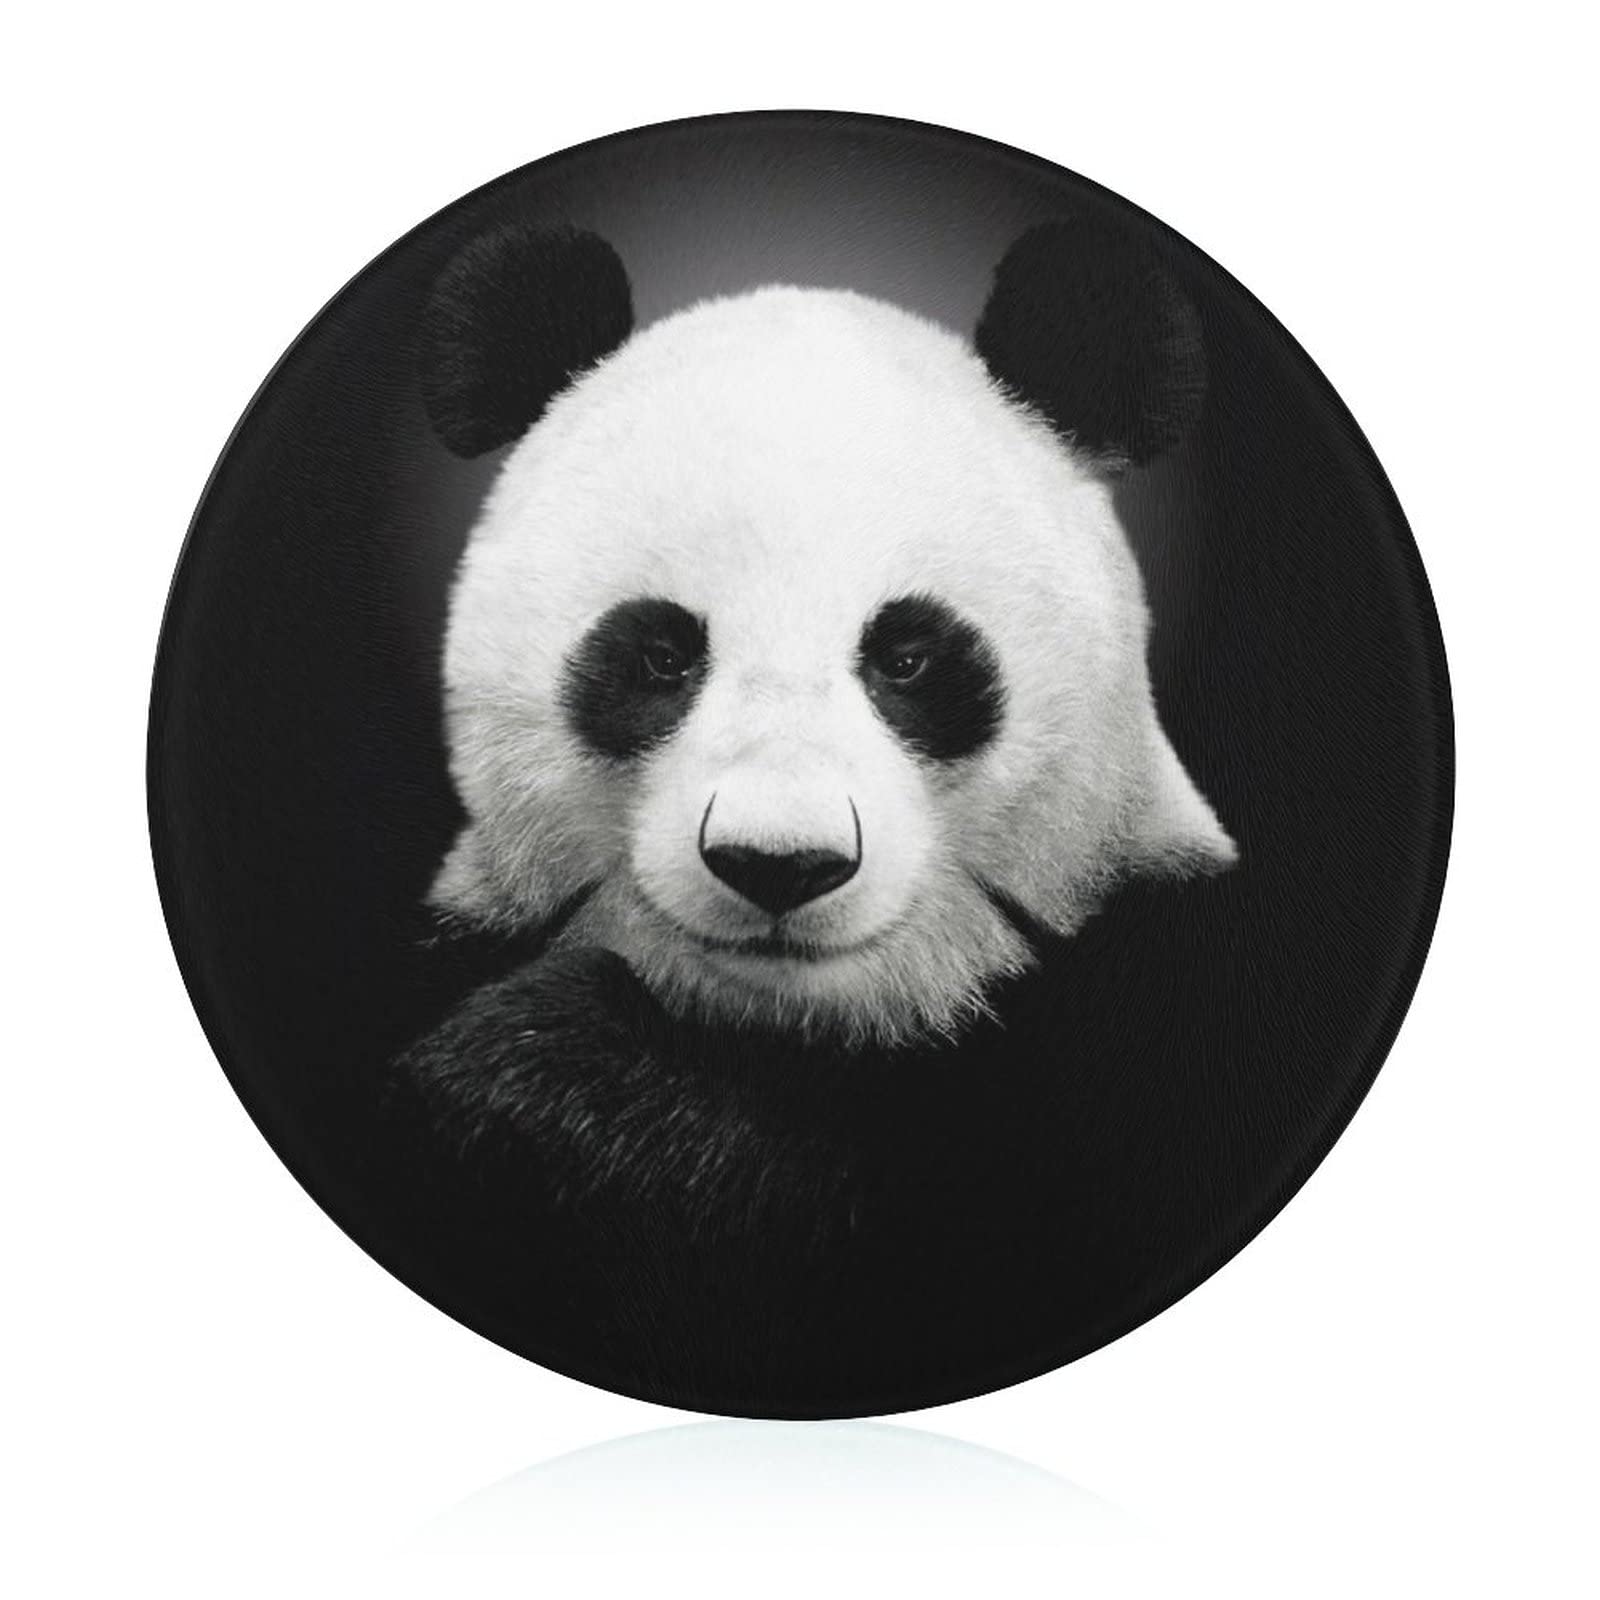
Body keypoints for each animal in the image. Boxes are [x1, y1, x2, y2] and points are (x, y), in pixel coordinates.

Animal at [386, 217, 1237, 1414]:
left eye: (909, 657)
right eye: (661, 655)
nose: (777, 863)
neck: (792, 1036)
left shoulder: (1159, 1007)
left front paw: (554, 1072)